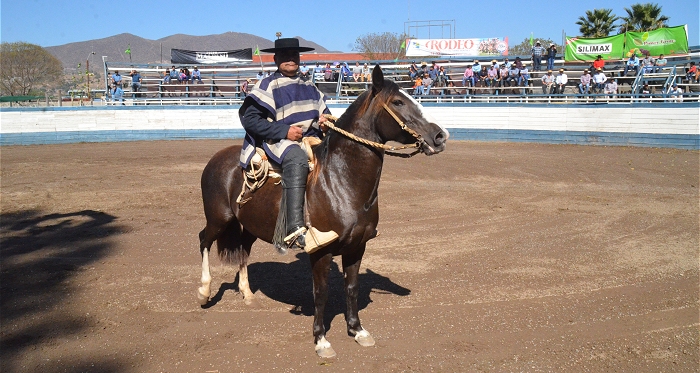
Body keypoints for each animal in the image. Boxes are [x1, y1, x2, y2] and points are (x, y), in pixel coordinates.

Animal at [197, 66, 448, 358]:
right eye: (398, 102)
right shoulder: (321, 252)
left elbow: (352, 288)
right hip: (219, 218)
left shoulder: (357, 246)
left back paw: (247, 294)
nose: (440, 136)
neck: (340, 180)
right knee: (203, 240)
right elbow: (321, 293)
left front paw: (357, 330)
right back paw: (204, 292)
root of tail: (217, 159)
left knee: (243, 250)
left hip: (248, 225)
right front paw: (321, 340)